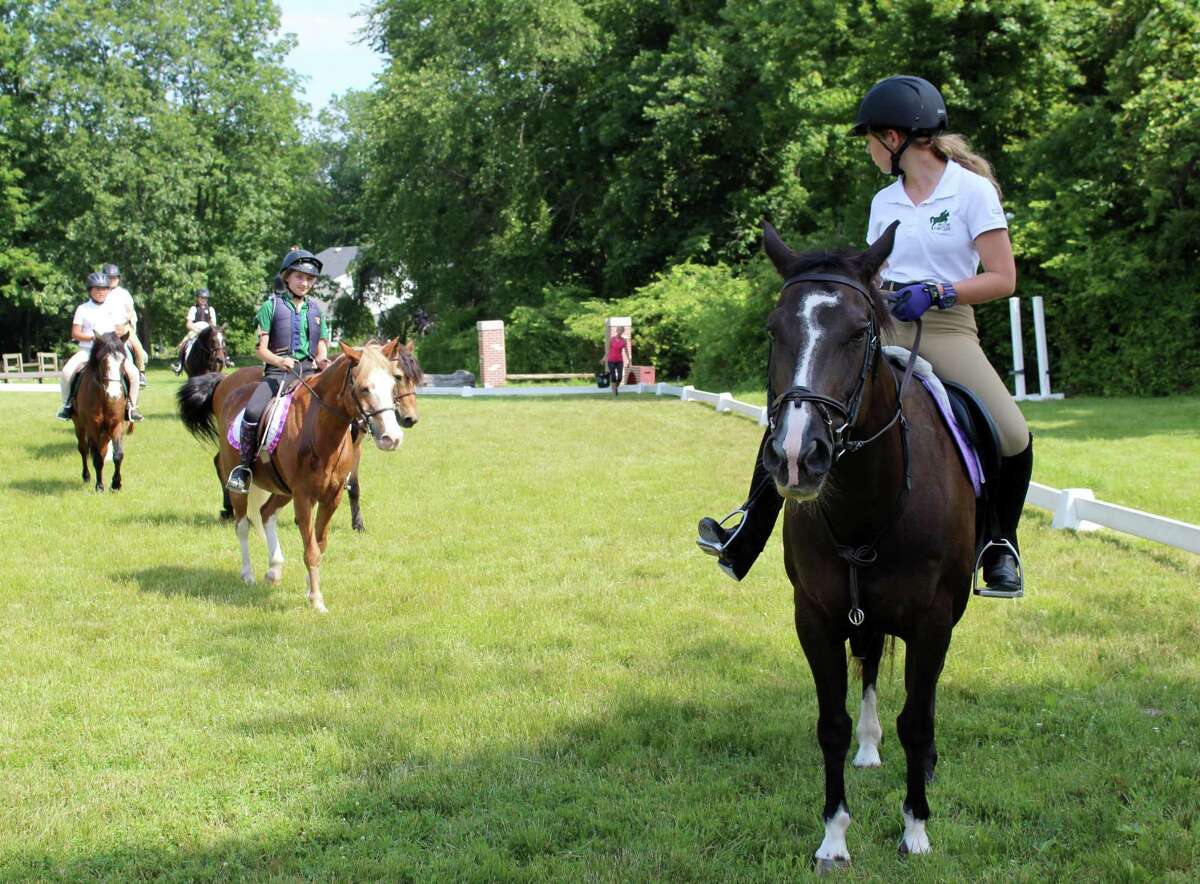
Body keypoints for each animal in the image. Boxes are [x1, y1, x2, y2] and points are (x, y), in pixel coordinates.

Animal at [72, 332, 134, 492]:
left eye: (123, 360)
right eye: (103, 360)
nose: (114, 394)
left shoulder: (116, 424)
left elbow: (118, 455)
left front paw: (116, 484)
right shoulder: (92, 426)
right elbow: (97, 458)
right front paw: (99, 486)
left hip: (105, 431)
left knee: (103, 450)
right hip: (79, 424)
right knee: (83, 448)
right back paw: (86, 476)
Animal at [177, 340, 421, 611]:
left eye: (393, 381)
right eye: (364, 388)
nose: (392, 437)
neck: (319, 429)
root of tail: (229, 388)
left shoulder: (331, 497)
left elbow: (318, 544)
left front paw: (309, 585)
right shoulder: (304, 497)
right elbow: (310, 548)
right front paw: (316, 600)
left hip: (283, 490)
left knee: (266, 513)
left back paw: (274, 569)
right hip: (241, 483)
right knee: (242, 525)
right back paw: (248, 573)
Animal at [758, 221, 975, 867]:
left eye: (859, 332)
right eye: (774, 330)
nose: (796, 456)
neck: (866, 502)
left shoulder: (933, 620)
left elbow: (918, 721)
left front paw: (916, 829)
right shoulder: (817, 616)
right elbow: (831, 722)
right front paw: (833, 837)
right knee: (874, 663)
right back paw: (870, 747)